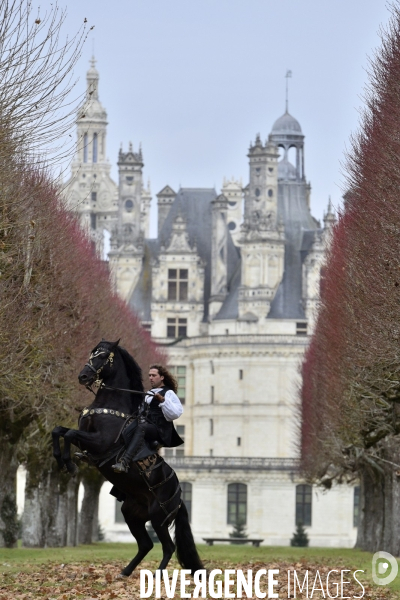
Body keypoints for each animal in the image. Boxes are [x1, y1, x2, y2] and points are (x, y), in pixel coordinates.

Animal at [51, 340, 203, 576]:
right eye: (92, 353)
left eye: (103, 356)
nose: (83, 376)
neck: (110, 404)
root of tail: (179, 498)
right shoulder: (85, 437)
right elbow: (58, 430)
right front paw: (62, 460)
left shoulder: (100, 442)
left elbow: (68, 434)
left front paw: (70, 464)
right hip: (132, 514)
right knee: (146, 544)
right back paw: (125, 572)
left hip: (159, 518)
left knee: (168, 546)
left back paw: (156, 576)